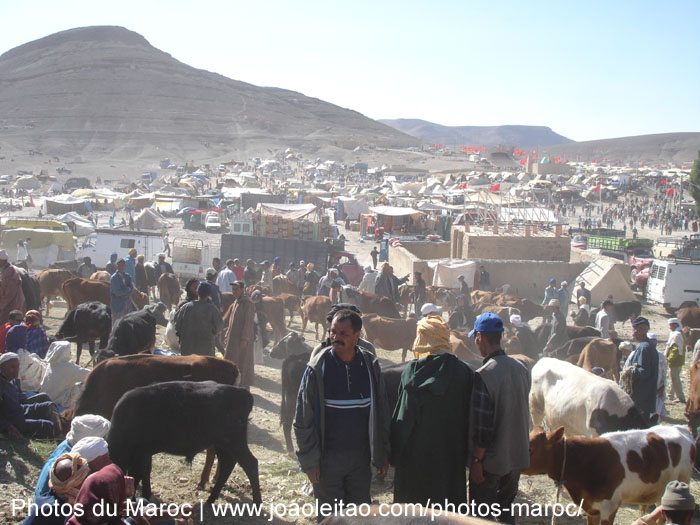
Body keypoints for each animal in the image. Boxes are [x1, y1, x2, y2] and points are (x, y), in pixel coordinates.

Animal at [108, 380, 262, 504]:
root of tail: (242, 392)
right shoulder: (144, 455)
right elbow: (142, 474)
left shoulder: (142, 453)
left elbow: (138, 475)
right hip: (223, 444)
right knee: (227, 464)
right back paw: (211, 499)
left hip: (234, 442)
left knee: (250, 464)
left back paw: (257, 502)